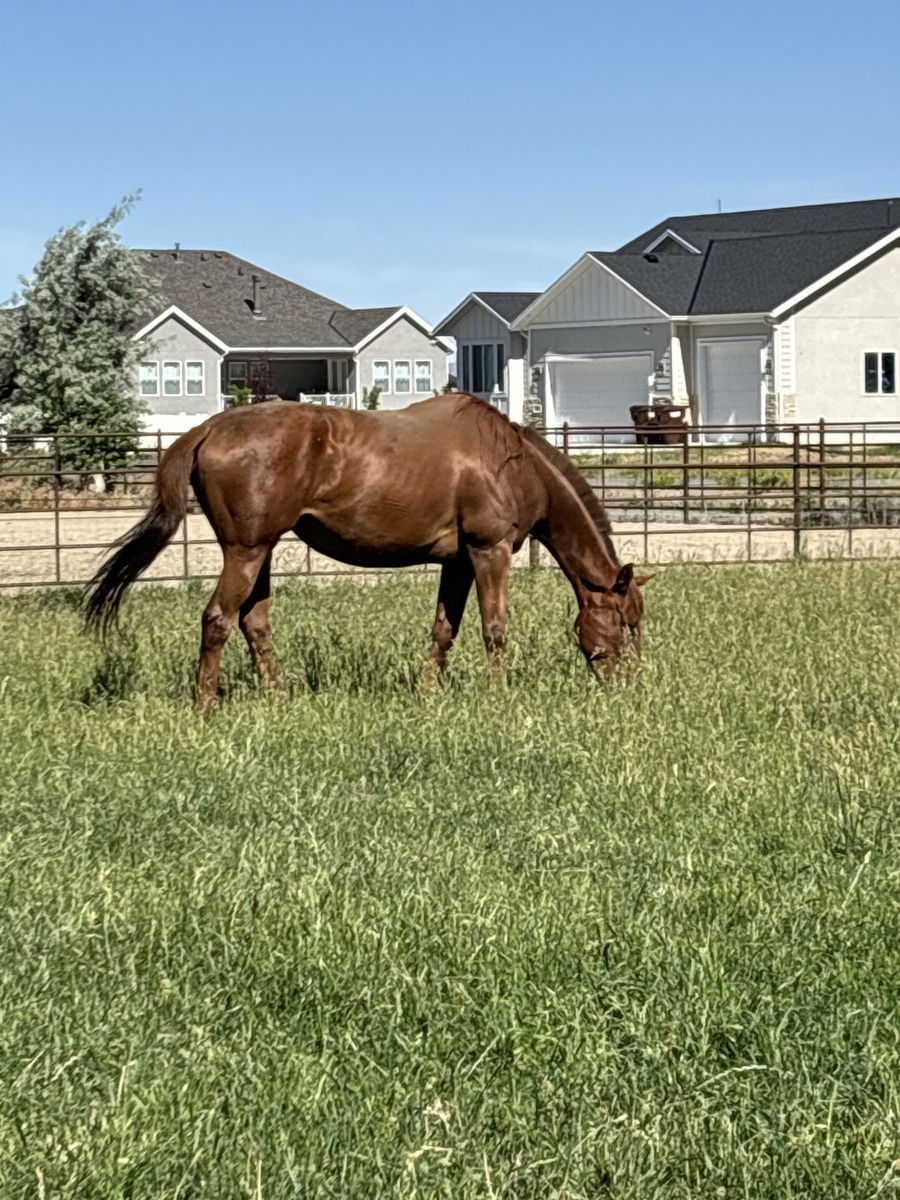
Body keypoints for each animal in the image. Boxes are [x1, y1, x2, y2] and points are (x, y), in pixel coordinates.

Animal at [86, 394, 649, 708]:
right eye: (624, 623)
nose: (628, 682)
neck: (512, 462)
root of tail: (208, 429)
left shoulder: (458, 562)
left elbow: (444, 629)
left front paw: (427, 692)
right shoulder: (489, 551)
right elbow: (494, 629)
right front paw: (501, 694)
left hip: (258, 552)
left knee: (254, 622)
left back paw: (279, 699)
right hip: (245, 551)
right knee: (218, 619)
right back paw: (206, 706)